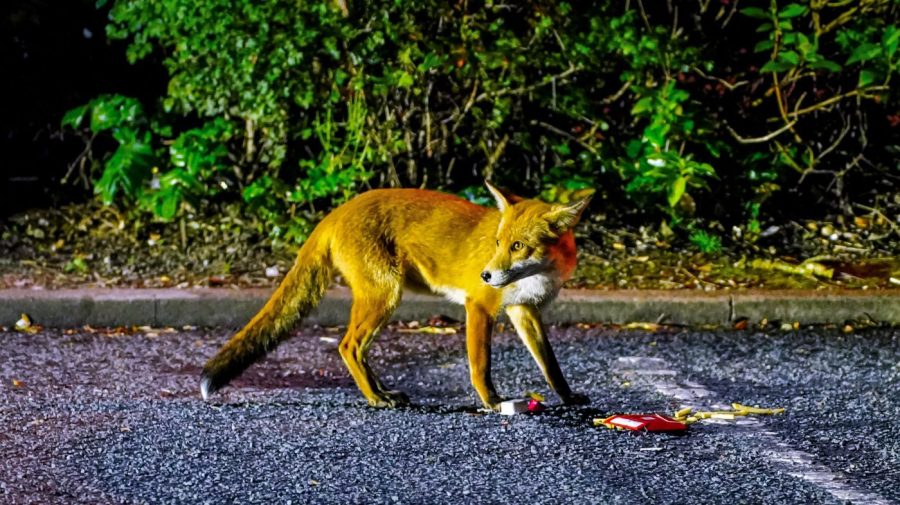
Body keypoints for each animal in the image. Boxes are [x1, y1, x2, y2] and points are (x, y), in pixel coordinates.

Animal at [200, 181, 592, 410]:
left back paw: (382, 392)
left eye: (517, 246)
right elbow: (481, 366)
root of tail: (337, 211)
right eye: (497, 243)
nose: (485, 274)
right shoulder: (479, 306)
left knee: (355, 350)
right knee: (347, 346)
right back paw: (375, 398)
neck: (538, 276)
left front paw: (568, 397)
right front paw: (492, 402)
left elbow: (550, 365)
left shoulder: (523, 311)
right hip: (385, 296)